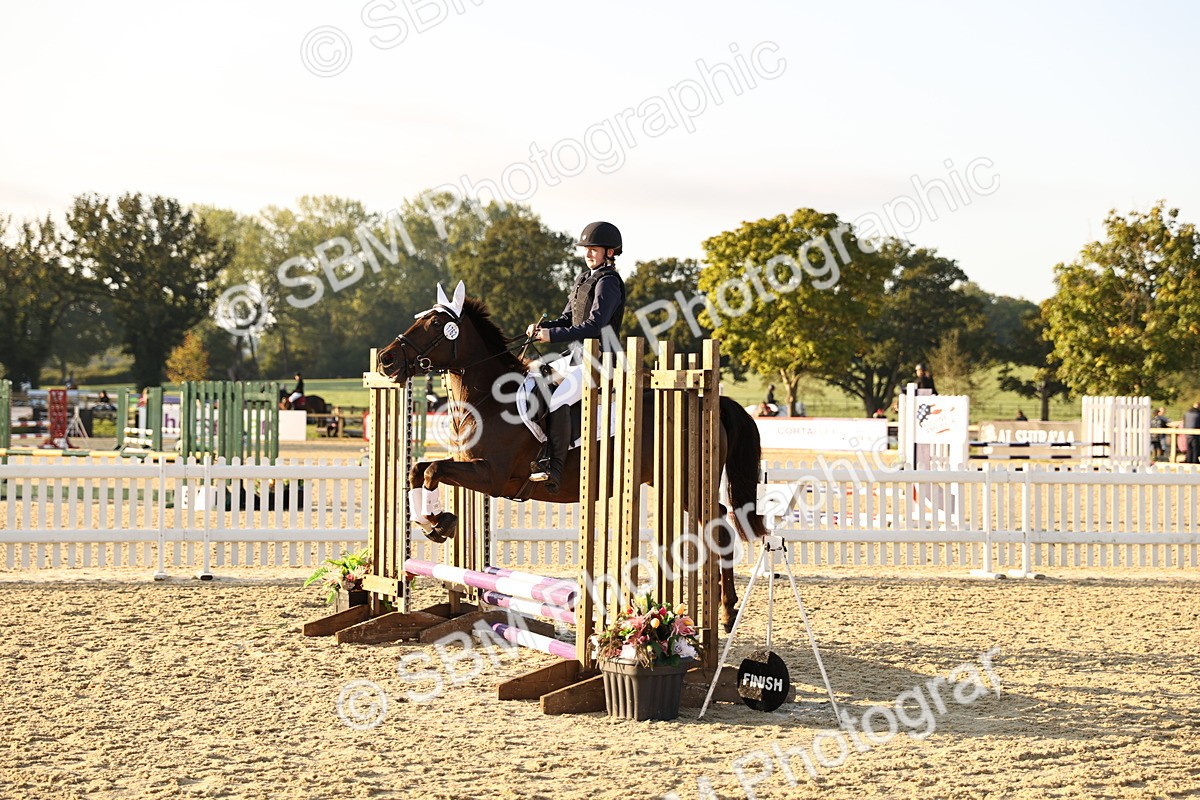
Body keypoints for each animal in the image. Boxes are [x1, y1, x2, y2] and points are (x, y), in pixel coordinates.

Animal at [375, 287, 768, 629]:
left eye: (434, 324)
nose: (385, 359)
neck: (490, 399)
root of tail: (710, 401)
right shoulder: (469, 468)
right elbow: (417, 470)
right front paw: (435, 523)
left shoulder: (492, 476)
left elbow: (432, 471)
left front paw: (440, 523)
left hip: (686, 483)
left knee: (719, 525)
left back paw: (726, 612)